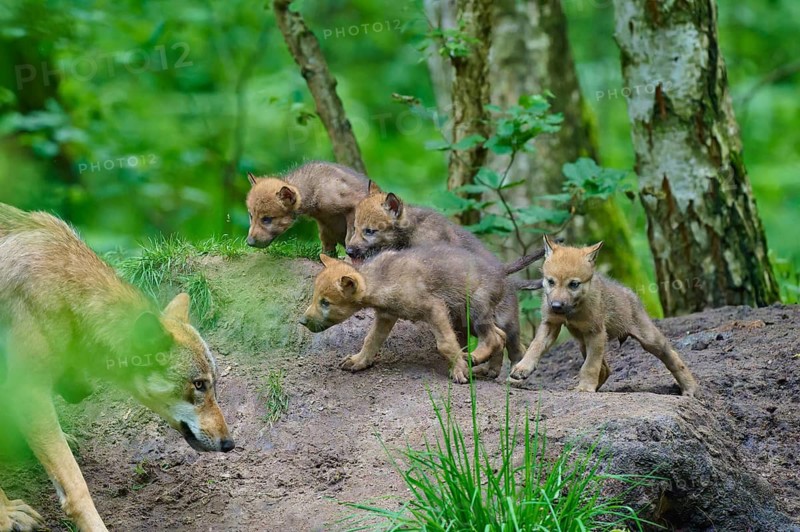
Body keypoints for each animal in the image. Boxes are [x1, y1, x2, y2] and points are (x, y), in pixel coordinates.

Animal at [0, 203, 234, 532]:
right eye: (199, 385)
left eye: (214, 385)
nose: (230, 443)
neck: (66, 291)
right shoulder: (28, 390)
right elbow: (76, 486)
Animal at [299, 247, 510, 384]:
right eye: (315, 297)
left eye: (325, 302)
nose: (301, 321)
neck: (381, 280)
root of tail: (501, 273)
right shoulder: (386, 316)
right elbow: (371, 340)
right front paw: (358, 361)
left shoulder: (435, 308)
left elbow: (446, 344)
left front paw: (459, 370)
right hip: (468, 316)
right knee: (501, 335)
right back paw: (490, 370)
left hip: (473, 310)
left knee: (493, 338)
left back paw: (472, 359)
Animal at [509, 235, 699, 396]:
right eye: (550, 281)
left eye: (574, 284)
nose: (556, 306)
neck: (572, 311)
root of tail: (631, 294)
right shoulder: (551, 324)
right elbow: (535, 346)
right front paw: (521, 369)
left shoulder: (597, 333)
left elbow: (590, 366)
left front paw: (585, 388)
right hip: (583, 343)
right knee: (606, 369)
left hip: (649, 340)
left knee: (673, 358)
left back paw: (690, 388)